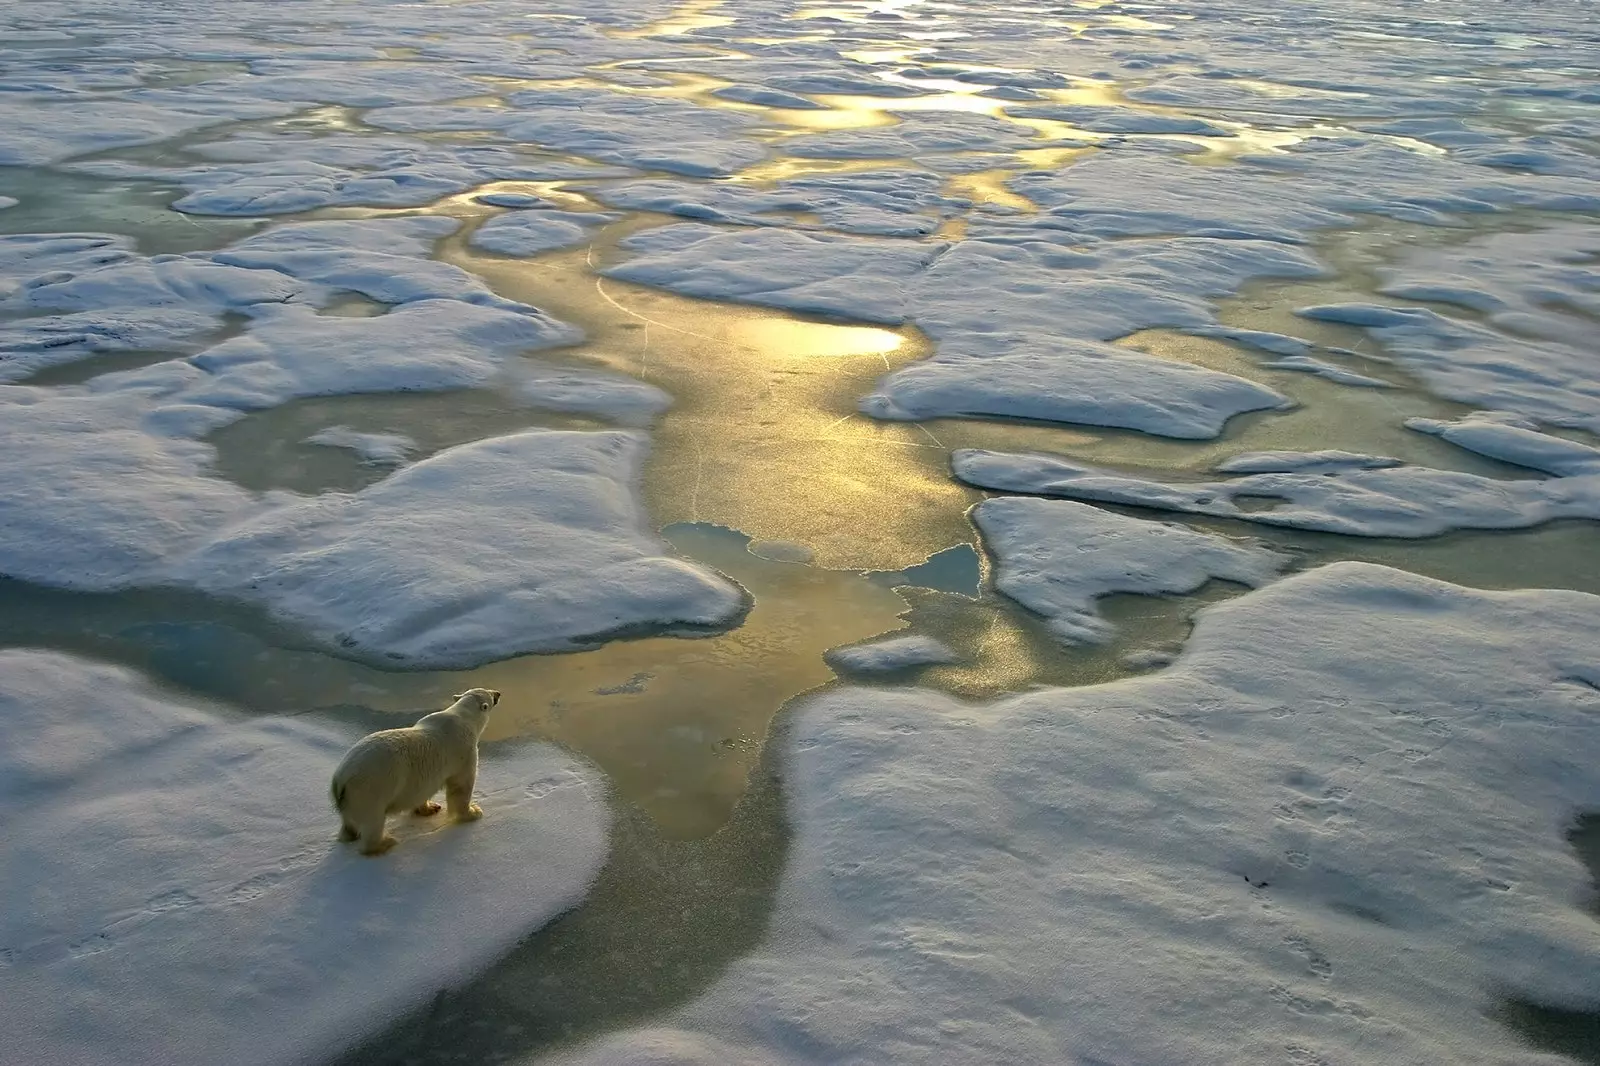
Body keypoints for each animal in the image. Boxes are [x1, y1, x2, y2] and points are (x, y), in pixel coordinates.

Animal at [326, 688, 496, 857]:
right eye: (490, 694)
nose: (498, 693)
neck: (463, 716)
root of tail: (340, 779)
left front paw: (430, 808)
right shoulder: (464, 752)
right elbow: (461, 786)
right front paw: (473, 812)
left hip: (350, 799)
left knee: (349, 822)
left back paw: (350, 835)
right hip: (370, 789)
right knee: (373, 821)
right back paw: (385, 843)